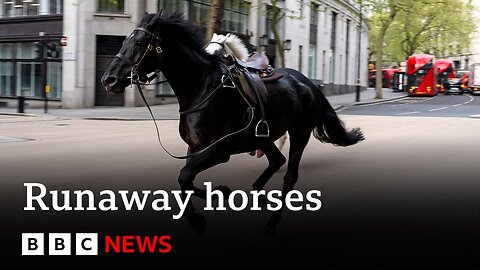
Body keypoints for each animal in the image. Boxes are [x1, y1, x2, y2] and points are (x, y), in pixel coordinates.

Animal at [101, 12, 364, 232]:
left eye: (139, 43)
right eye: (124, 41)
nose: (109, 79)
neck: (203, 88)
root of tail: (310, 83)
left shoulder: (219, 150)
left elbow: (184, 176)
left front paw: (208, 207)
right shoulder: (195, 148)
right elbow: (185, 181)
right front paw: (215, 199)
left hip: (300, 132)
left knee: (290, 175)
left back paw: (272, 220)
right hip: (264, 136)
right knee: (276, 161)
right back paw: (259, 196)